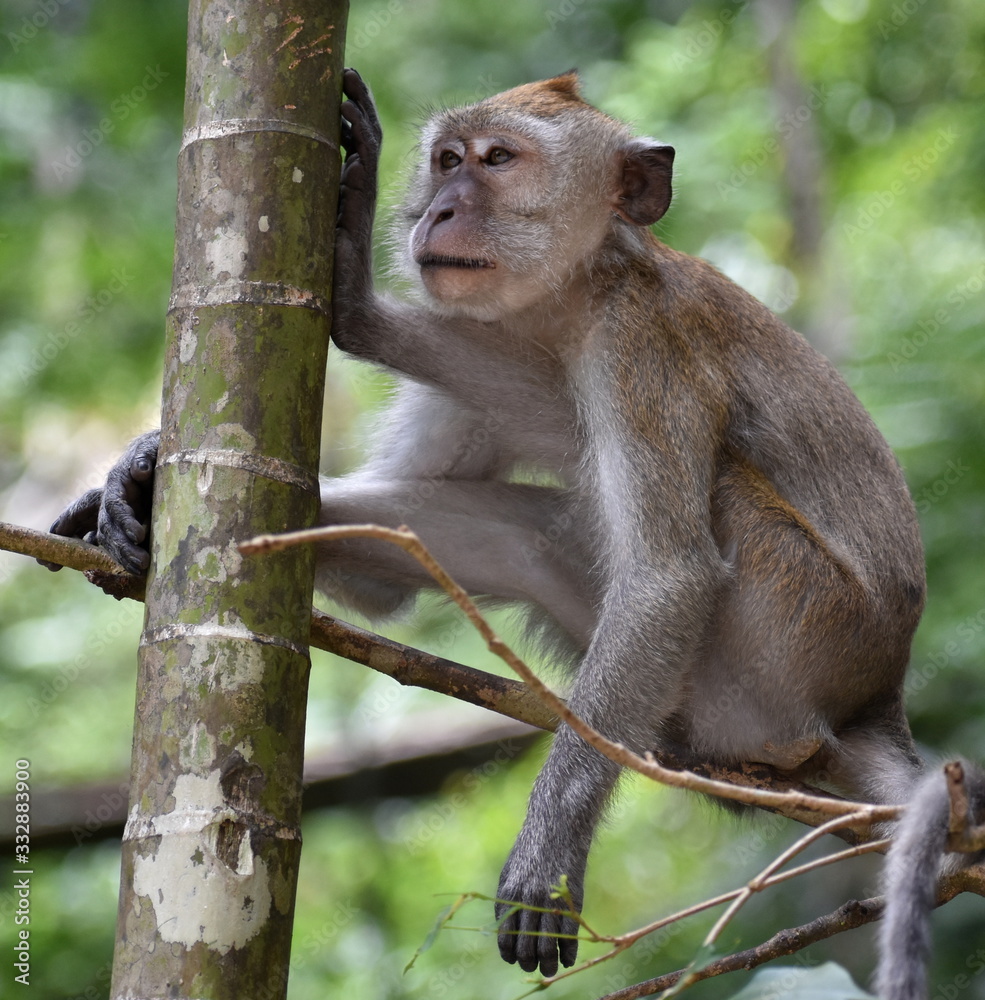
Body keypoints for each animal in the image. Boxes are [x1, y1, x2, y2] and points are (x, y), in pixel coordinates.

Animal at [50, 70, 956, 984]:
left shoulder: (638, 344)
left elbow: (667, 576)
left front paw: (546, 853)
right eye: (448, 160)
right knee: (524, 533)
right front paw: (147, 468)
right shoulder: (505, 335)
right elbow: (400, 550)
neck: (582, 290)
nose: (440, 209)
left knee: (719, 495)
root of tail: (874, 698)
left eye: (497, 159)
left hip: (794, 633)